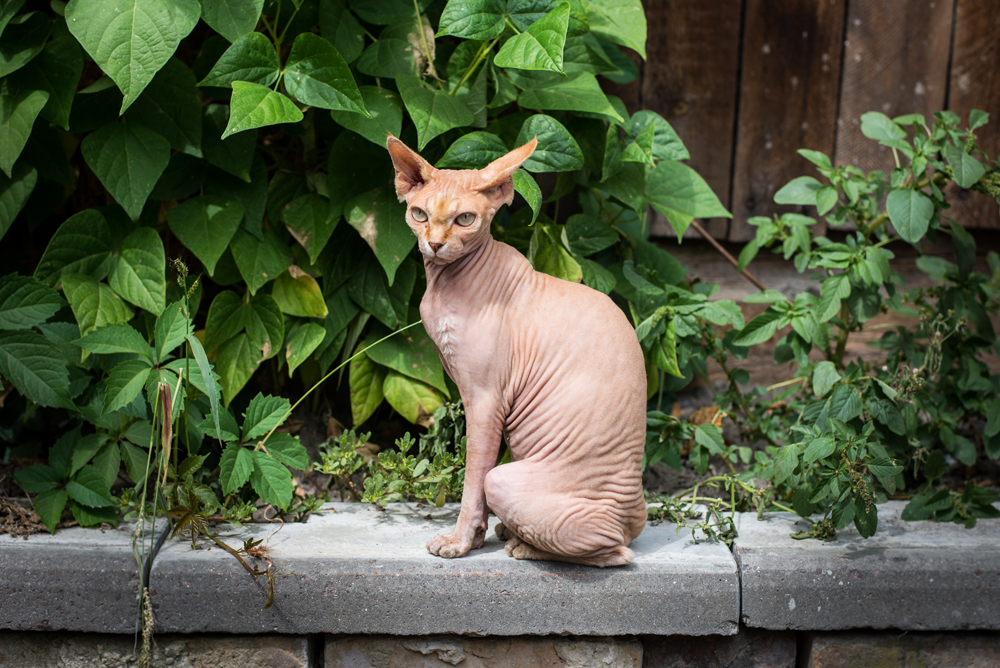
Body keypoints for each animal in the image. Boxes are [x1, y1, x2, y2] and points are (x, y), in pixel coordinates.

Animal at [382, 133, 648, 568]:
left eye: (465, 220)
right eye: (419, 214)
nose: (434, 244)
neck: (445, 285)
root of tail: (633, 516)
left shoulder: (486, 399)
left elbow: (473, 477)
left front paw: (460, 541)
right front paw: (476, 538)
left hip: (510, 480)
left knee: (614, 552)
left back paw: (525, 545)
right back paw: (513, 532)